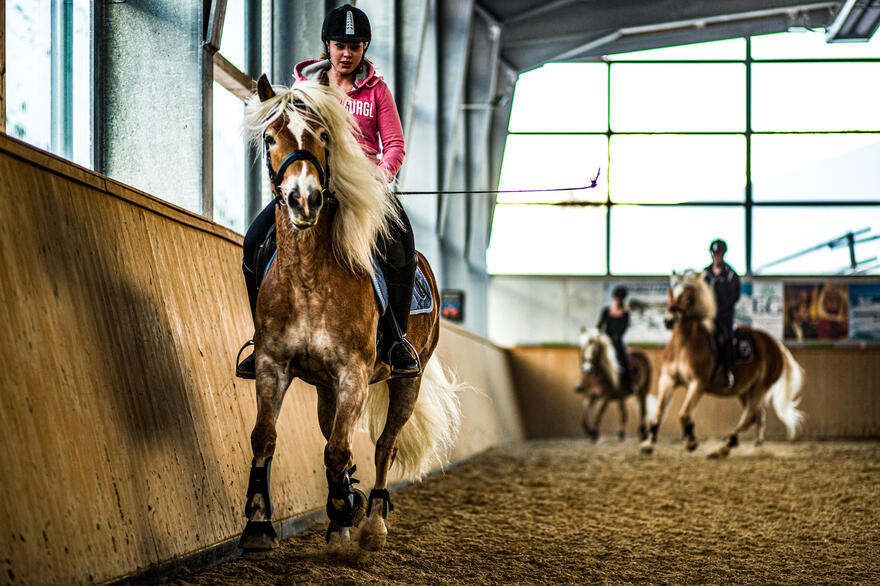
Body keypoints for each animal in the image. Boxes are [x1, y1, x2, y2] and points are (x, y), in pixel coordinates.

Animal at [237, 75, 464, 556]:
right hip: (325, 387)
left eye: (324, 136)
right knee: (332, 437)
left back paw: (372, 522)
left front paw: (347, 508)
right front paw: (259, 525)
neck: (308, 278)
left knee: (384, 446)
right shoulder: (272, 366)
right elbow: (266, 436)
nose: (304, 200)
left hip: (407, 380)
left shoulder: (353, 374)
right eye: (270, 138)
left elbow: (341, 450)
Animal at [640, 270, 804, 456]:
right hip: (745, 390)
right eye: (670, 293)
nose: (669, 321)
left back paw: (725, 447)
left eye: (688, 297)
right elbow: (660, 412)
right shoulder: (668, 380)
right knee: (758, 416)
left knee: (749, 416)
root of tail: (777, 346)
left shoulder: (698, 384)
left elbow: (684, 414)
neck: (684, 344)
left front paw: (691, 441)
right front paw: (648, 444)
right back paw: (756, 446)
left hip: (760, 388)